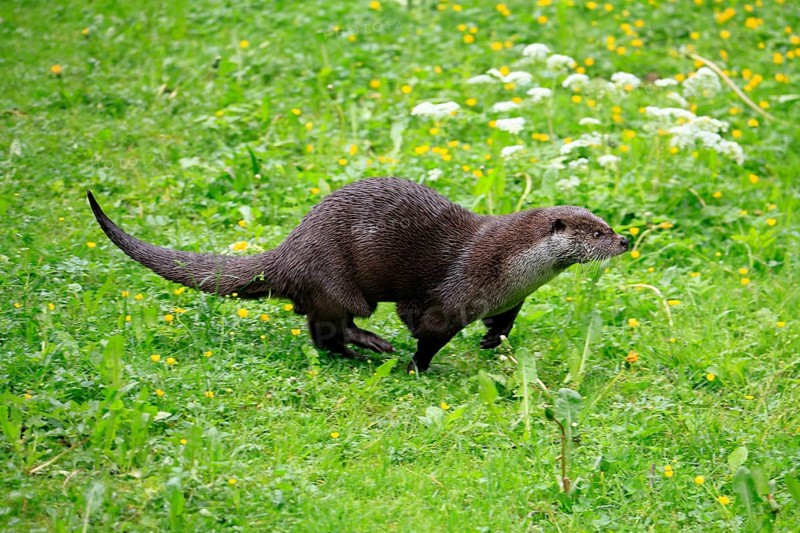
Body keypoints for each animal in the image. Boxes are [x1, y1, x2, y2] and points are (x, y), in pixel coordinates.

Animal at [88, 178, 628, 372]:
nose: (626, 240)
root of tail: (289, 250)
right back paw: (373, 348)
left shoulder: (510, 298)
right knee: (333, 324)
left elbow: (505, 321)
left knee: (320, 332)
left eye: (608, 224)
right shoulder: (452, 293)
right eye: (597, 232)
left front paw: (492, 340)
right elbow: (425, 331)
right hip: (335, 279)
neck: (508, 267)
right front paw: (415, 367)